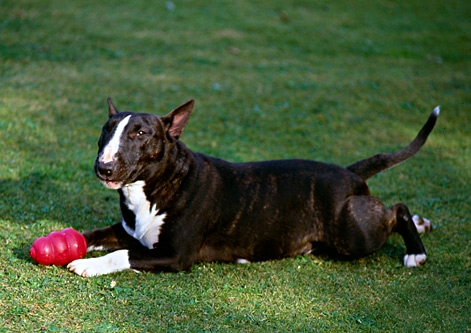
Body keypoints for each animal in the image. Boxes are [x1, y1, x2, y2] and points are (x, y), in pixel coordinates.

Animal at [68, 97, 440, 276]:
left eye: (141, 133)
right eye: (106, 129)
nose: (103, 167)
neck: (158, 185)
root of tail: (349, 174)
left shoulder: (175, 255)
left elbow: (123, 254)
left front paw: (87, 265)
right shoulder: (128, 230)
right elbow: (92, 235)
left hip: (352, 235)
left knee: (396, 210)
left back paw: (416, 251)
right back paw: (422, 223)